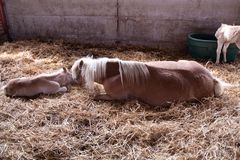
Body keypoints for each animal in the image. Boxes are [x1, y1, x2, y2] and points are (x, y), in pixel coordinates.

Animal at [71, 56, 225, 106]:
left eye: (77, 72)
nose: (72, 82)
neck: (115, 73)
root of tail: (210, 77)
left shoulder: (116, 97)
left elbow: (96, 96)